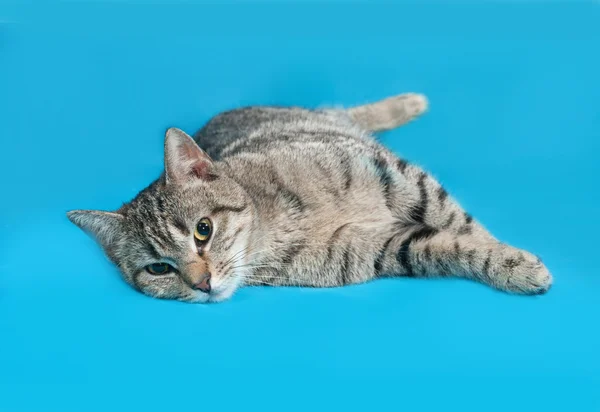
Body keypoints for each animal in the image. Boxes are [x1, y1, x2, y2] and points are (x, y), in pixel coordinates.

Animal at [68, 93, 552, 302]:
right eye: (158, 269)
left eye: (203, 230)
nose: (201, 285)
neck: (274, 225)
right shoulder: (383, 249)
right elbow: (445, 245)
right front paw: (507, 264)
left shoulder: (398, 178)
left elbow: (463, 224)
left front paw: (513, 261)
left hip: (330, 124)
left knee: (341, 110)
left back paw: (408, 102)